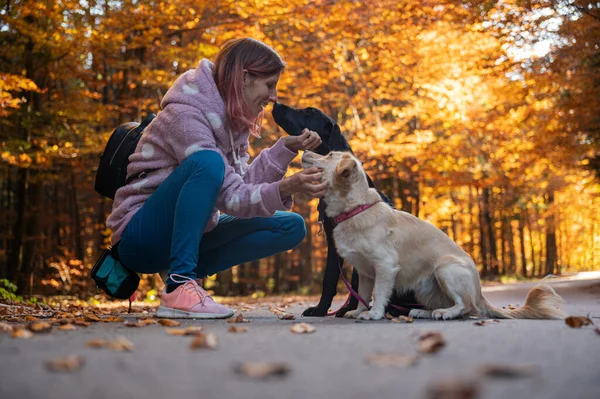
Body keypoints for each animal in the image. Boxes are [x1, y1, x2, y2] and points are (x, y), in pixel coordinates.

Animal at [272, 103, 418, 318]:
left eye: (307, 112)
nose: (276, 104)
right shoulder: (334, 241)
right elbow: (332, 278)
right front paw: (325, 308)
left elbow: (352, 280)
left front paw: (342, 309)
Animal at [302, 150, 564, 322]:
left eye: (328, 154)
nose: (304, 149)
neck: (355, 209)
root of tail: (480, 294)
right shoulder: (365, 272)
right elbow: (364, 294)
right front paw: (358, 311)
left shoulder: (385, 266)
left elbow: (379, 293)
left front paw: (374, 313)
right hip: (424, 286)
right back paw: (422, 312)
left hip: (445, 268)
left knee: (466, 308)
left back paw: (445, 313)